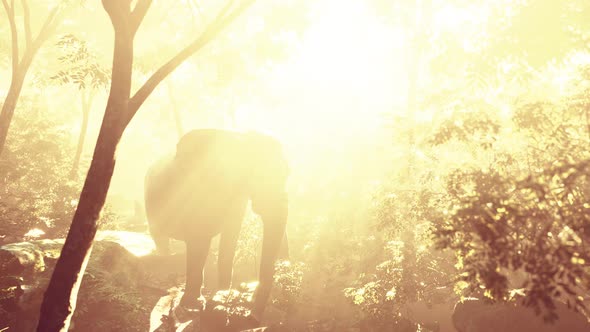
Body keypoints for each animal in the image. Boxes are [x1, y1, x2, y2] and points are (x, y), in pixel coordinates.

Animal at [145, 128, 290, 320]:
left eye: (287, 174)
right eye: (258, 175)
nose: (252, 316)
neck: (238, 138)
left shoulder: (237, 198)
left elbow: (230, 235)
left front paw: (220, 299)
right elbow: (199, 238)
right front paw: (193, 304)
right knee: (160, 238)